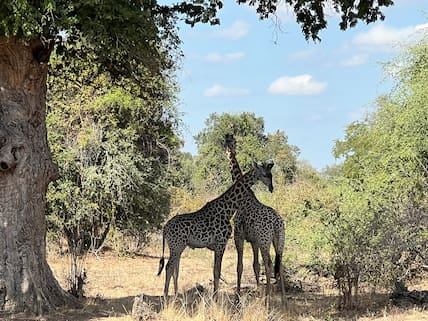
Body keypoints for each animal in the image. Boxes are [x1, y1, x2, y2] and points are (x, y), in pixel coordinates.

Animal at [157, 161, 274, 298]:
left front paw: (214, 296)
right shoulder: (221, 243)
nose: (271, 188)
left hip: (178, 247)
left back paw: (175, 295)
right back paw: (166, 297)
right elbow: (217, 271)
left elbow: (215, 271)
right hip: (176, 246)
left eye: (271, 174)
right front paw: (215, 298)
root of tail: (165, 228)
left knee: (175, 268)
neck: (228, 209)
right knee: (169, 267)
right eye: (265, 174)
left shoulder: (216, 246)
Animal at [222, 134, 286, 304]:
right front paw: (258, 293)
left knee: (269, 264)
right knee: (279, 264)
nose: (271, 188)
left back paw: (268, 300)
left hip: (265, 241)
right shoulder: (254, 241)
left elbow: (240, 266)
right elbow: (255, 266)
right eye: (266, 174)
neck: (244, 197)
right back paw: (284, 300)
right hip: (279, 240)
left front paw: (238, 297)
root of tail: (277, 224)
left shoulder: (239, 236)